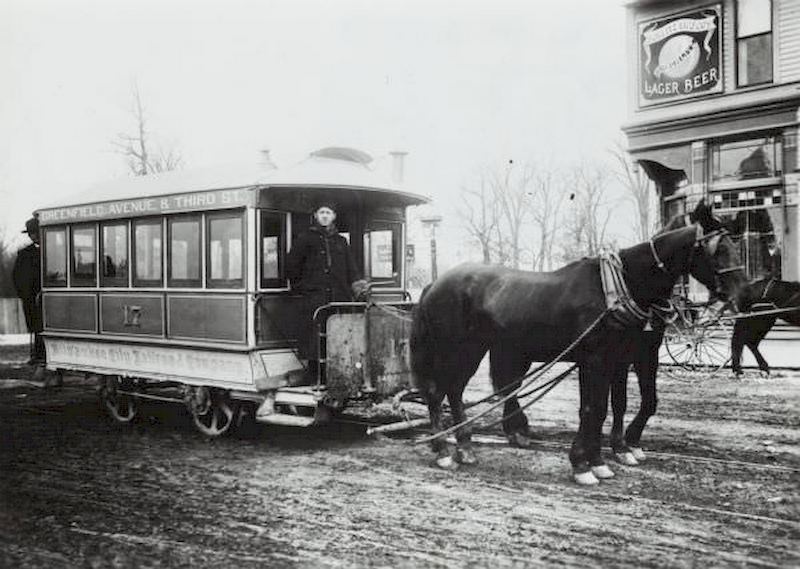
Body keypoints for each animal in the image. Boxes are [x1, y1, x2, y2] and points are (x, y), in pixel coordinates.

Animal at [412, 201, 752, 484]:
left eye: (736, 246)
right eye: (718, 249)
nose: (744, 294)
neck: (615, 289)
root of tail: (434, 283)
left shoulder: (616, 358)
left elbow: (605, 408)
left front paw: (600, 459)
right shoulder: (596, 360)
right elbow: (593, 408)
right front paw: (583, 464)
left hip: (478, 349)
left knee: (457, 392)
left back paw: (466, 446)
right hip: (456, 349)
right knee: (439, 392)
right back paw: (444, 450)